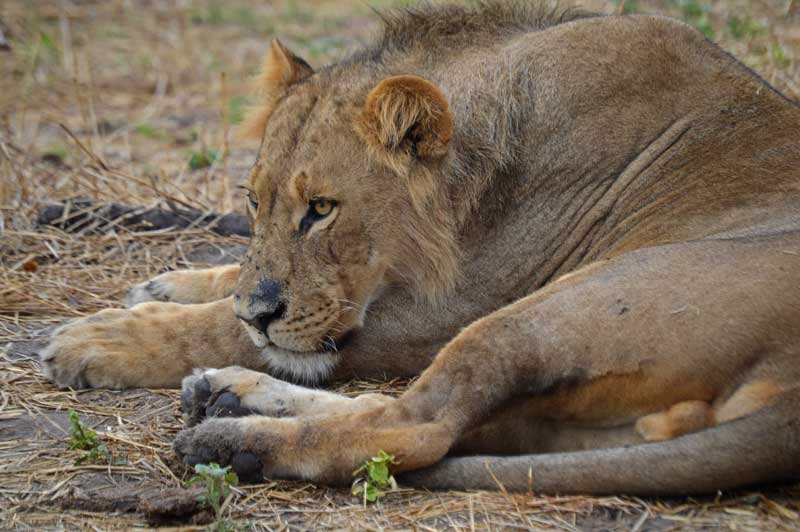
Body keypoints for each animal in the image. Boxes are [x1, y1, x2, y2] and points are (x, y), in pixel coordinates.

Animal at [41, 2, 800, 494]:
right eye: (255, 202)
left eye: (322, 211)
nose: (260, 313)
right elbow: (234, 286)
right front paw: (169, 287)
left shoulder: (446, 308)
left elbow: (224, 331)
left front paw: (99, 340)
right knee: (465, 428)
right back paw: (226, 397)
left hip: (557, 306)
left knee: (415, 429)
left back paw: (229, 440)